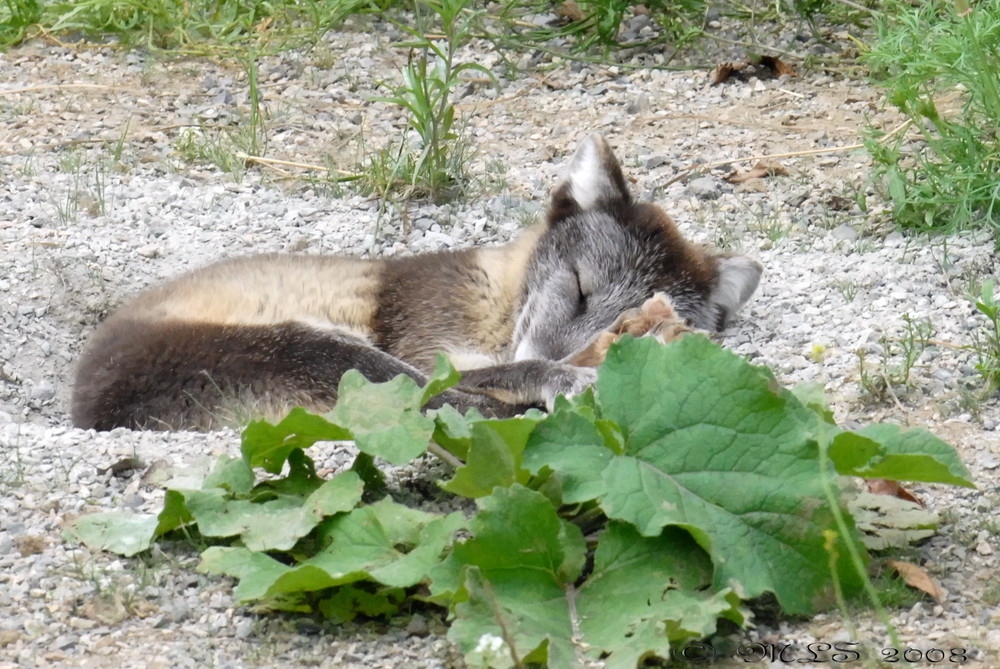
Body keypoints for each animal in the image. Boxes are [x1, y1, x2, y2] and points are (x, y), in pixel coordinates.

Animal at [70, 133, 760, 430]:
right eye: (580, 288)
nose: (570, 359)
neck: (497, 291)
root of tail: (88, 410)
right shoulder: (431, 344)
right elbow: (496, 371)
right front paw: (563, 377)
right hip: (315, 349)